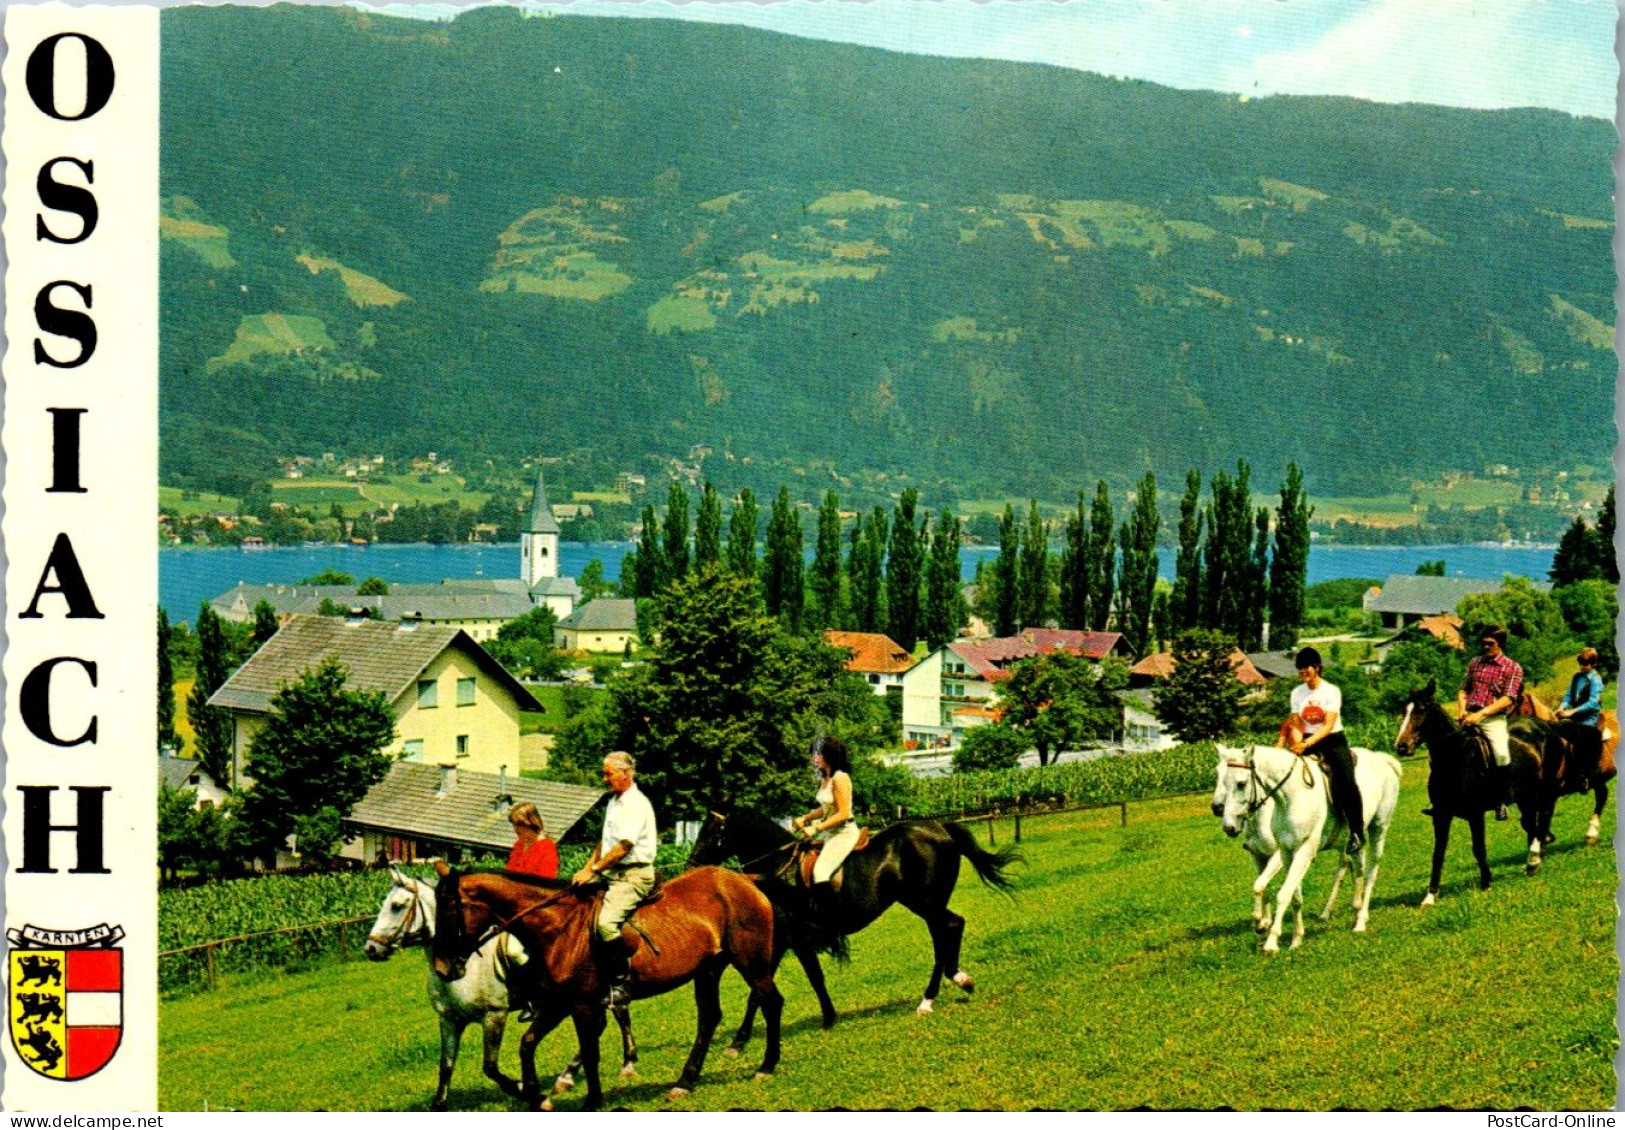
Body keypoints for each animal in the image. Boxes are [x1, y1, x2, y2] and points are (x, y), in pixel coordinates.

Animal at [364, 871, 640, 1112]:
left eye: (397, 905)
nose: (371, 949)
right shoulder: (449, 1021)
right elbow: (446, 1066)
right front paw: (439, 1104)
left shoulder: (493, 1016)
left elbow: (490, 1066)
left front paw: (524, 1089)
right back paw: (568, 1077)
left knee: (618, 1016)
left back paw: (627, 1063)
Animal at [432, 871, 786, 1112]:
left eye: (448, 912)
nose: (441, 968)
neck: (560, 929)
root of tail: (742, 880)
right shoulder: (560, 1003)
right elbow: (527, 1043)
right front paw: (533, 1094)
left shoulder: (583, 1005)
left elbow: (590, 1052)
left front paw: (592, 1100)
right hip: (709, 971)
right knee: (710, 1018)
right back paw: (684, 1083)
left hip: (752, 965)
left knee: (771, 1003)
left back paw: (766, 1067)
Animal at [1215, 741, 1404, 956]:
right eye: (1220, 777)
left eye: (1241, 784)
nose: (1228, 825)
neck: (1290, 797)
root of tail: (1383, 759)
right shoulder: (1286, 852)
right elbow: (1289, 895)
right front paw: (1295, 938)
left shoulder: (1300, 852)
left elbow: (1281, 894)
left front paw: (1271, 941)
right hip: (1353, 840)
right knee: (1355, 869)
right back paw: (1346, 910)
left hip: (1379, 827)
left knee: (1371, 872)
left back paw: (1361, 921)